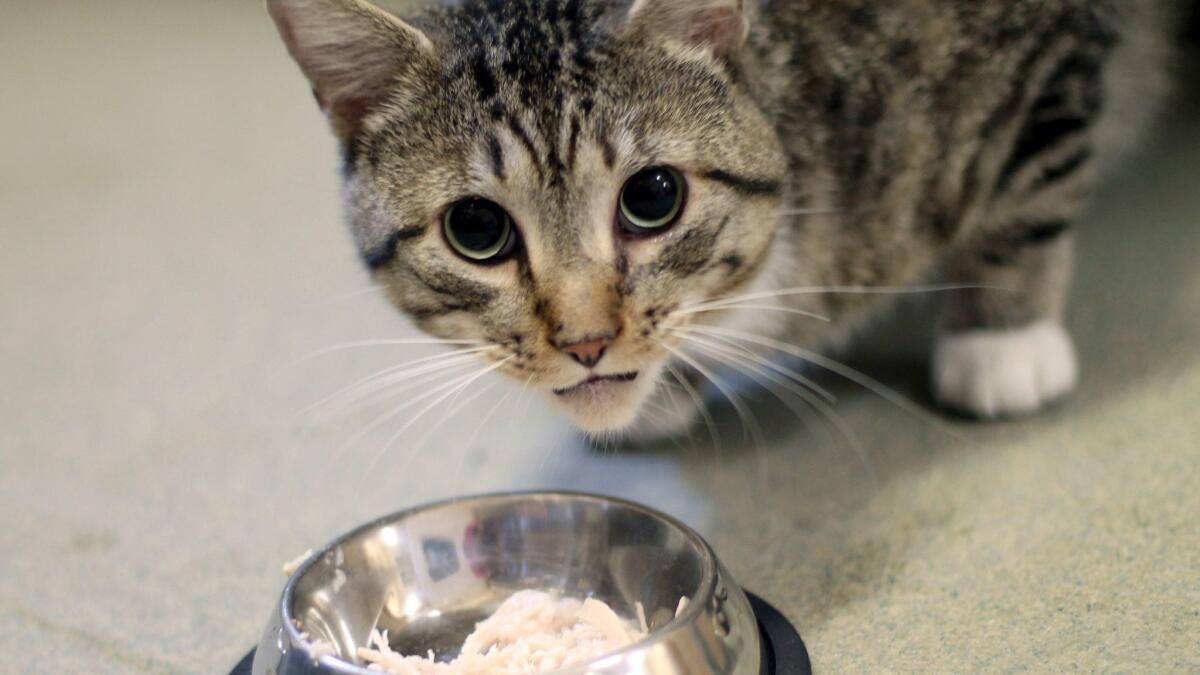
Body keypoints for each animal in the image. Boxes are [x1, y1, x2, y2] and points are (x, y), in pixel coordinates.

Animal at [267, 0, 1166, 437]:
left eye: (653, 197)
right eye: (477, 231)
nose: (586, 343)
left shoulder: (1053, 49)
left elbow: (1029, 184)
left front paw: (1004, 338)